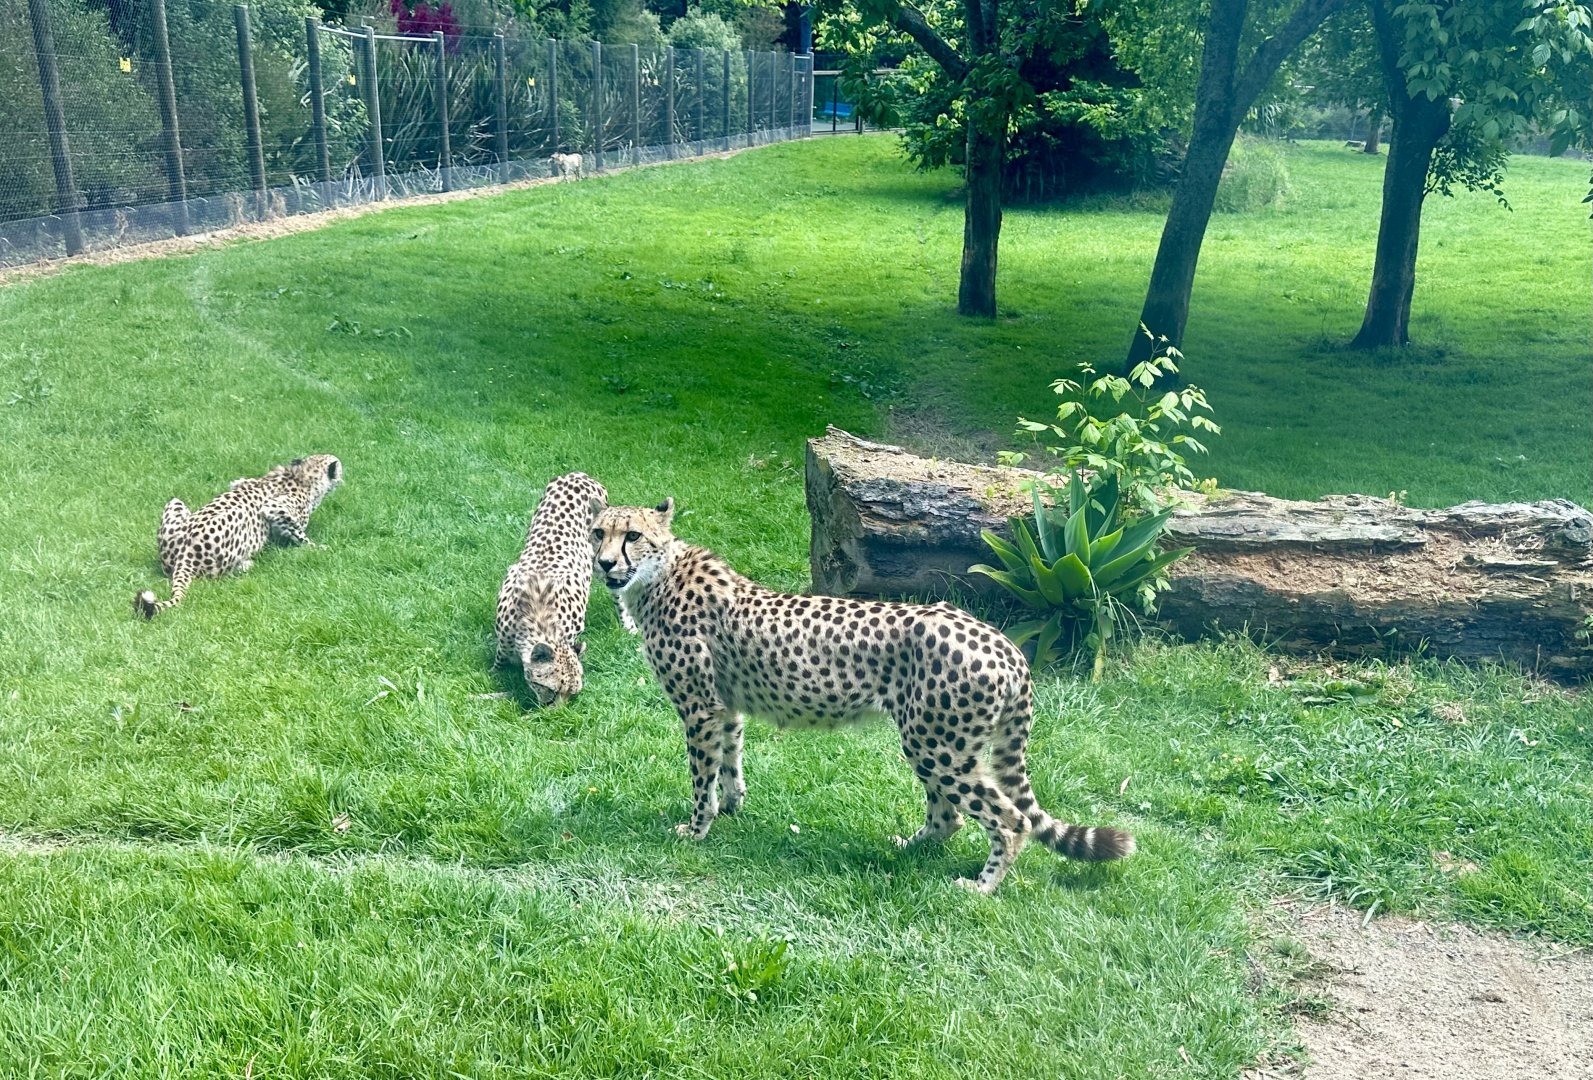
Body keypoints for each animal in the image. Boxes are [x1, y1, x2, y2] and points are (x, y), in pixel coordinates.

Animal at [135, 455, 342, 619]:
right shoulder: (275, 508)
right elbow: (300, 534)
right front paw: (319, 547)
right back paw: (246, 564)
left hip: (174, 502)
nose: (342, 475)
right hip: (239, 521)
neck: (302, 475)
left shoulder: (239, 482)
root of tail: (183, 554)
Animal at [592, 499, 1136, 894]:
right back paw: (904, 849)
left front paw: (697, 828)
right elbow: (730, 763)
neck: (657, 576)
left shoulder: (700, 709)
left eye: (633, 535)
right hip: (938, 744)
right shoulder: (726, 707)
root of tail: (1005, 644)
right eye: (599, 532)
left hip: (936, 745)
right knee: (950, 816)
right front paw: (731, 808)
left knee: (1008, 819)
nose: (602, 563)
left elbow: (701, 774)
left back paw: (981, 886)